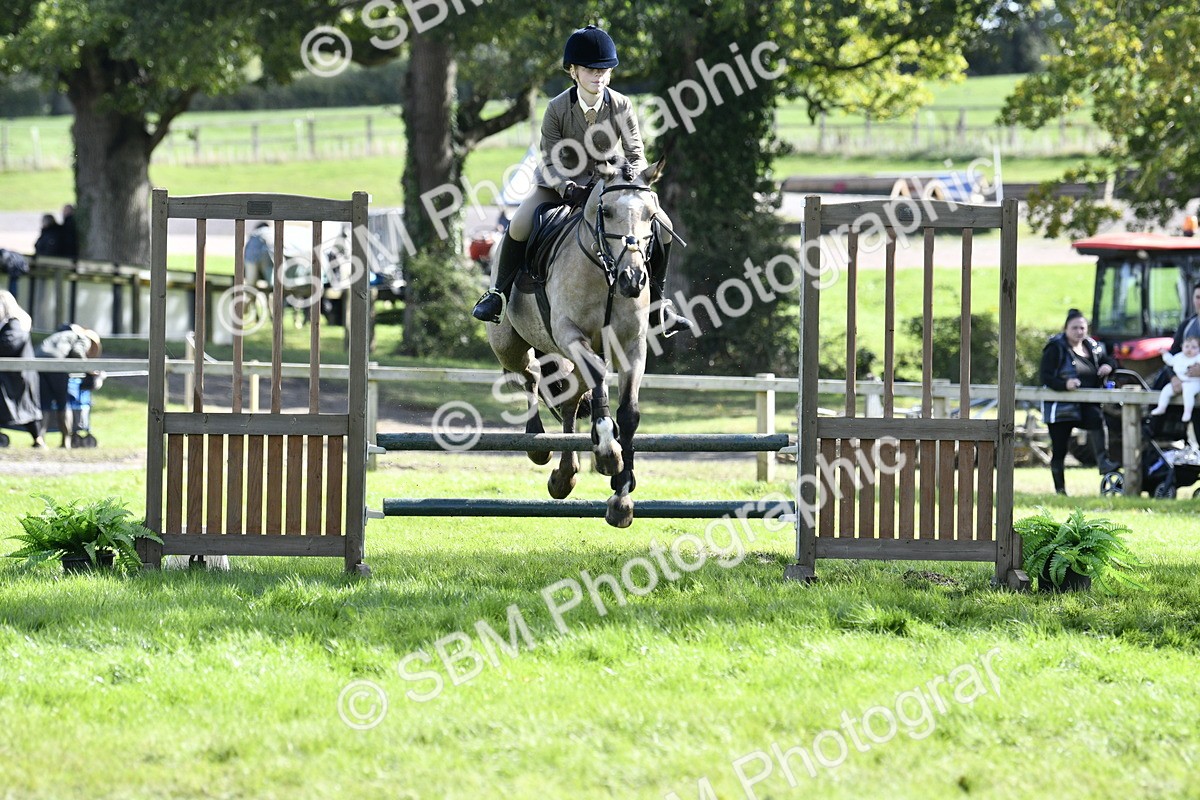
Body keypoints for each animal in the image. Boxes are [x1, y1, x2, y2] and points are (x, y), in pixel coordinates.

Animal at [487, 167, 671, 528]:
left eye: (650, 216)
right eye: (607, 212)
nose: (632, 279)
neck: (606, 273)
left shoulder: (632, 345)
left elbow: (629, 412)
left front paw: (622, 497)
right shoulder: (570, 335)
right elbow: (598, 381)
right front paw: (608, 452)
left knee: (569, 396)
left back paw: (564, 475)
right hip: (509, 345)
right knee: (529, 375)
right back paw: (538, 443)